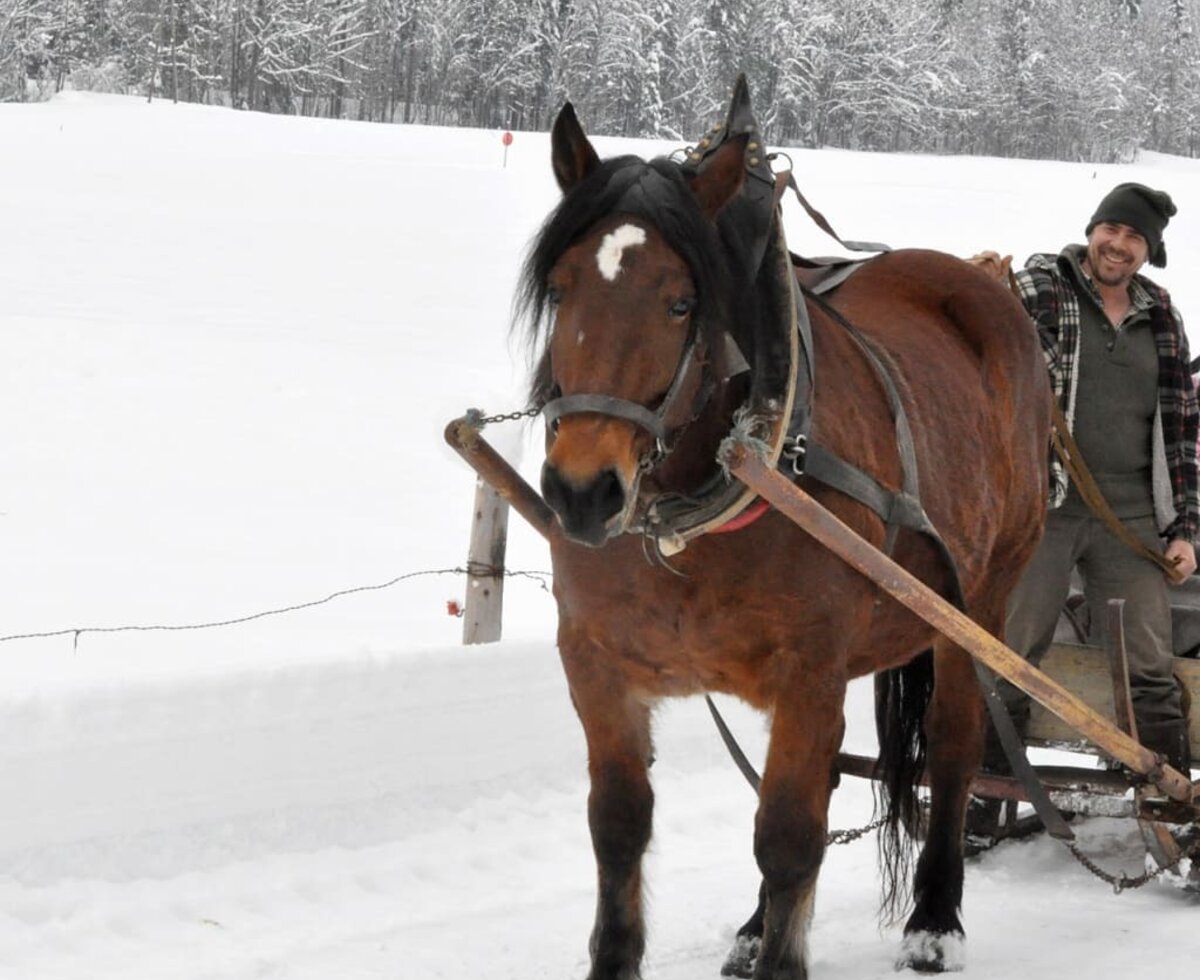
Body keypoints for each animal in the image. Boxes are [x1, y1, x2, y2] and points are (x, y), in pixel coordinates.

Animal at [516, 85, 1051, 978]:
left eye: (683, 301)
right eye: (559, 289)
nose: (582, 492)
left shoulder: (810, 671)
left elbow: (790, 837)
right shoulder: (597, 663)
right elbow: (620, 828)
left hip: (981, 602)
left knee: (953, 747)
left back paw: (934, 919)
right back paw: (756, 924)